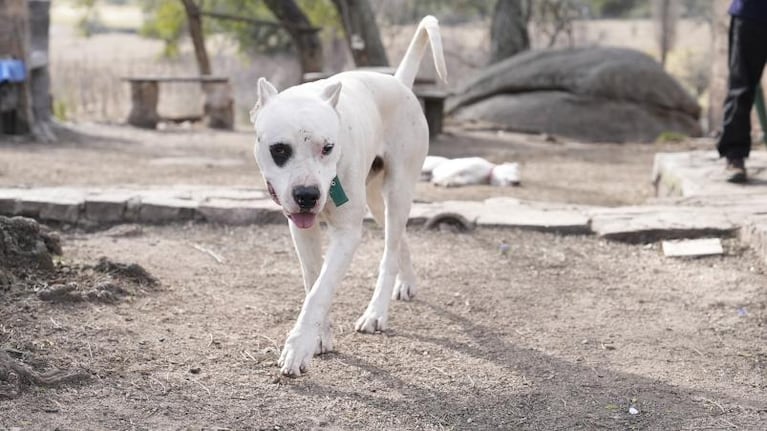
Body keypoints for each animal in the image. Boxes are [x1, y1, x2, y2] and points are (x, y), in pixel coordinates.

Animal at [249, 16, 448, 378]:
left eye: (328, 147)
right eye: (279, 149)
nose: (307, 195)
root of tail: (398, 82)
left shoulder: (347, 234)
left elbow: (320, 290)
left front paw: (298, 346)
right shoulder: (300, 229)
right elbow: (314, 281)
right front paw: (319, 336)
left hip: (398, 189)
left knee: (389, 252)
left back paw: (376, 312)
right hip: (376, 199)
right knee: (398, 238)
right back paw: (407, 282)